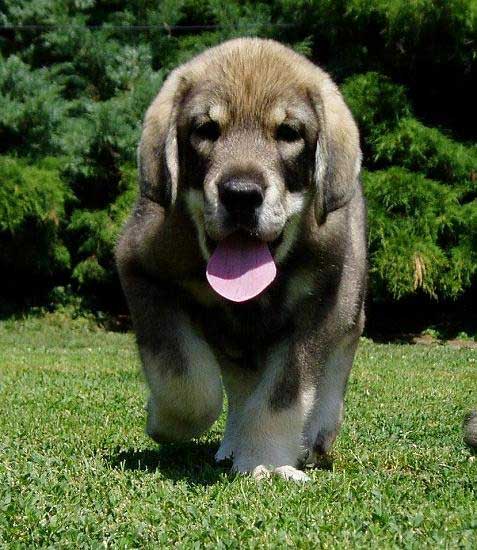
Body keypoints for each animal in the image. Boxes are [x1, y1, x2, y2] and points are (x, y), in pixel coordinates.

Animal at [114, 37, 364, 484]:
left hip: (350, 300)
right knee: (239, 386)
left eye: (288, 133)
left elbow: (284, 394)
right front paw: (163, 420)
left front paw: (266, 457)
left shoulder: (319, 305)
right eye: (206, 130)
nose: (242, 195)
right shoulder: (141, 271)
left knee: (335, 362)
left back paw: (316, 432)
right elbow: (186, 380)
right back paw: (233, 442)